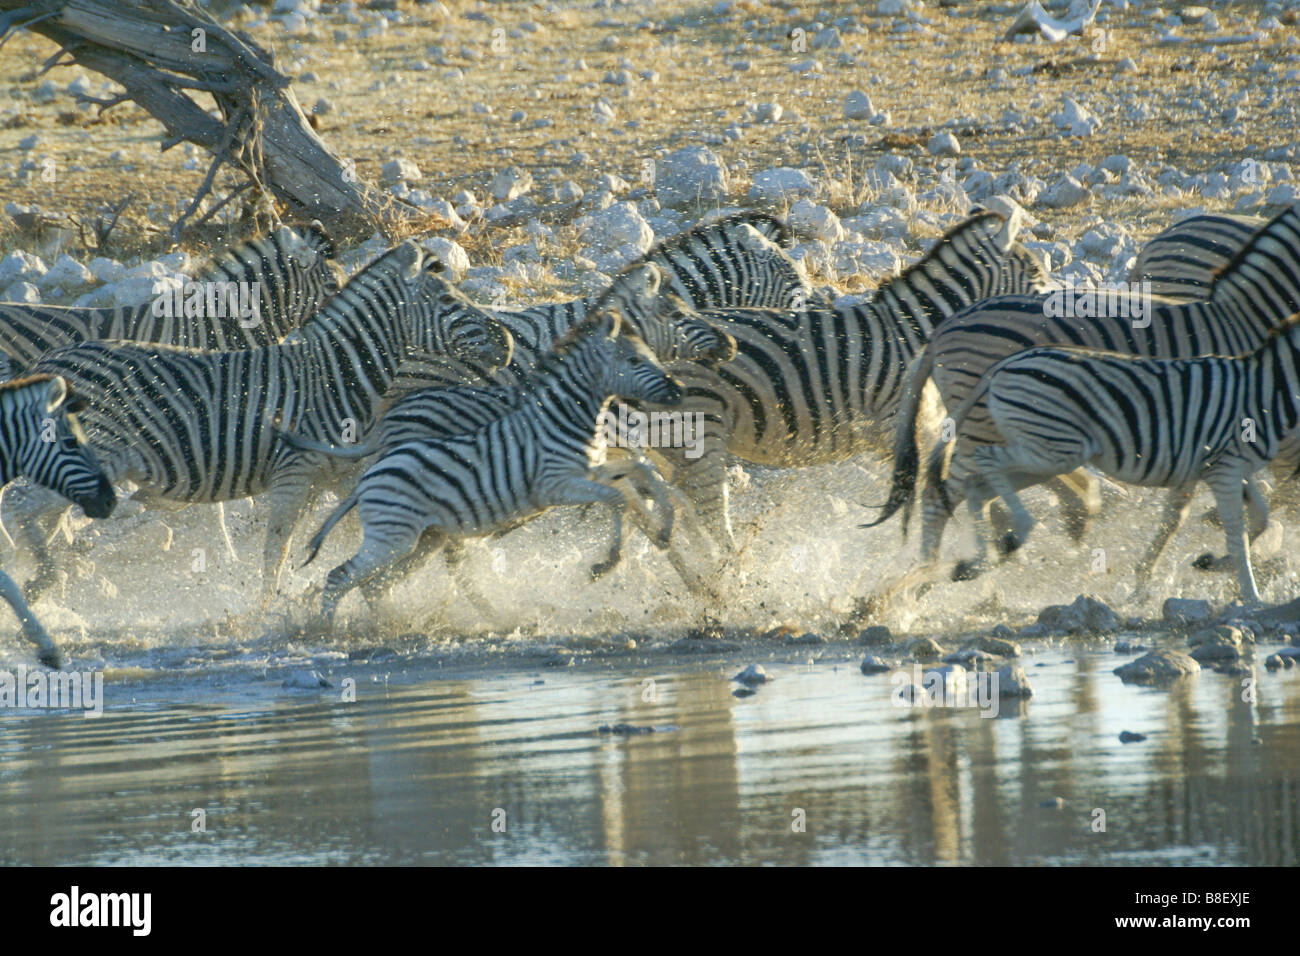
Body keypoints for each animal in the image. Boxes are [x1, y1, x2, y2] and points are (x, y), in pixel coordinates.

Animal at [13, 239, 512, 598]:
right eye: (447, 300)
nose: (506, 341)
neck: (333, 376)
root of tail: (51, 361)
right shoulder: (293, 474)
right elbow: (275, 550)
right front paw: (268, 611)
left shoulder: (334, 476)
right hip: (95, 456)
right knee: (20, 505)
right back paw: (42, 577)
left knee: (34, 512)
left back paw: (41, 581)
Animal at [941, 312, 1300, 598]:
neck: (1266, 392)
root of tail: (1006, 363)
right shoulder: (1225, 468)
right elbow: (1238, 535)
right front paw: (1251, 598)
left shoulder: (1224, 468)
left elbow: (1260, 519)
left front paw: (1211, 563)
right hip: (1051, 449)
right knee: (986, 459)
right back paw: (1018, 532)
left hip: (1047, 450)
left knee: (977, 485)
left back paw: (980, 560)